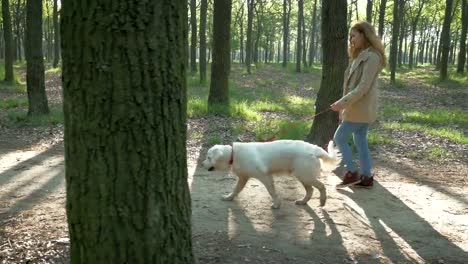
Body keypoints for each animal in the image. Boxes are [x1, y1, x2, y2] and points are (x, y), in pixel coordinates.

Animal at [203, 140, 338, 208]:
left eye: (208, 157)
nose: (202, 164)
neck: (233, 154)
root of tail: (315, 149)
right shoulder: (243, 178)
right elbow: (236, 190)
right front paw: (229, 197)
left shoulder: (265, 177)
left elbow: (272, 192)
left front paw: (276, 204)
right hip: (303, 176)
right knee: (310, 190)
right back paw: (302, 201)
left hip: (305, 176)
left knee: (321, 186)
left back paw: (322, 201)